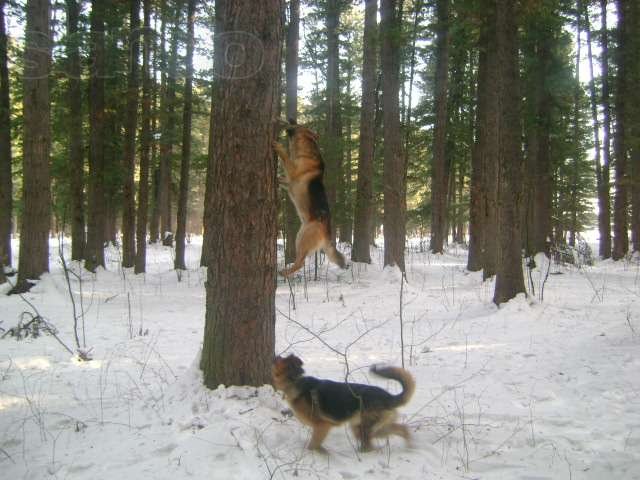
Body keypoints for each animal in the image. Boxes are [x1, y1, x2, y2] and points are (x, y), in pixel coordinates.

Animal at [272, 354, 416, 452]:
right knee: (402, 429)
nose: (275, 355)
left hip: (363, 429)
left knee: (370, 446)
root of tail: (389, 397)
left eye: (280, 359)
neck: (295, 381)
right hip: (374, 428)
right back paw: (410, 446)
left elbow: (313, 445)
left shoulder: (322, 426)